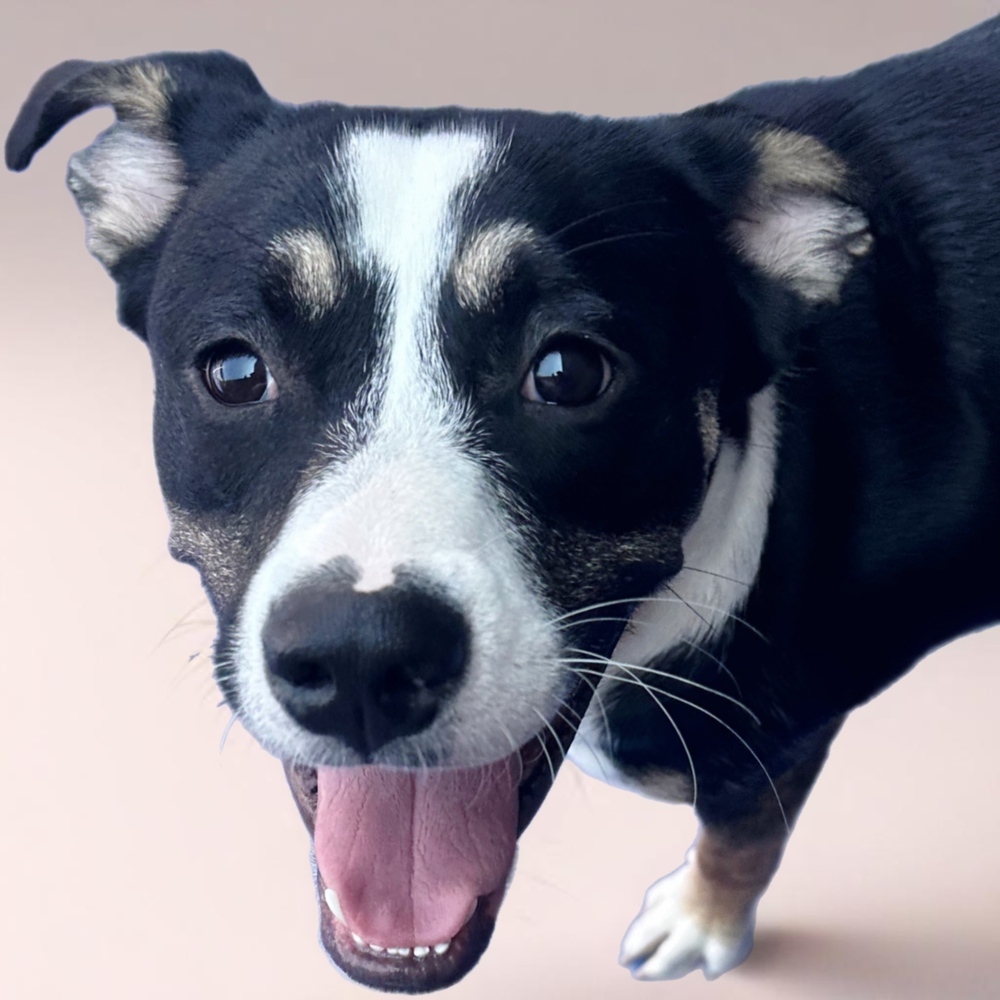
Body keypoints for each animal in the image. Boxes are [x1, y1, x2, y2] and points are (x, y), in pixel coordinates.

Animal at [7, 15, 1000, 992]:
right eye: (234, 371)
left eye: (567, 372)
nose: (363, 658)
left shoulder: (779, 737)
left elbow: (744, 834)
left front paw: (701, 921)